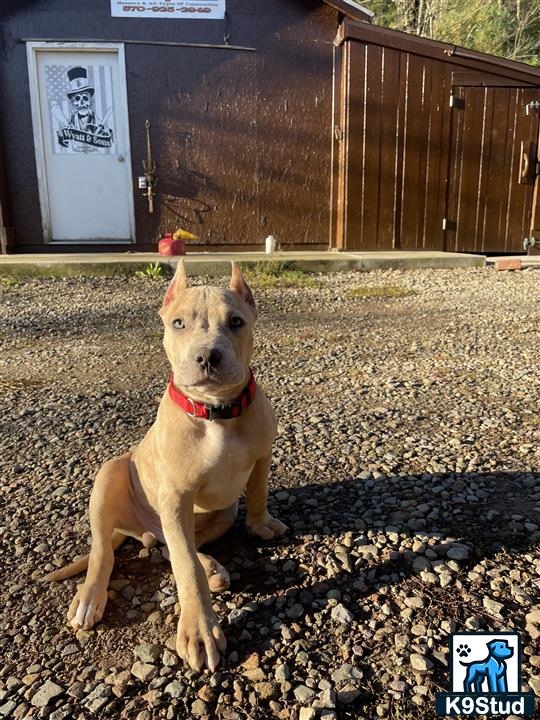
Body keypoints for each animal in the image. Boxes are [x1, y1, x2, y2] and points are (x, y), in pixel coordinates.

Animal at [44, 262, 288, 672]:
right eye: (178, 323)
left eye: (236, 322)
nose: (207, 356)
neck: (215, 412)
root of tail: (142, 530)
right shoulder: (175, 496)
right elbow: (185, 567)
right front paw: (200, 630)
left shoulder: (261, 456)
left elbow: (257, 492)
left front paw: (260, 525)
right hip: (111, 475)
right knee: (109, 551)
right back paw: (91, 596)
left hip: (222, 512)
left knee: (171, 547)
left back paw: (211, 567)